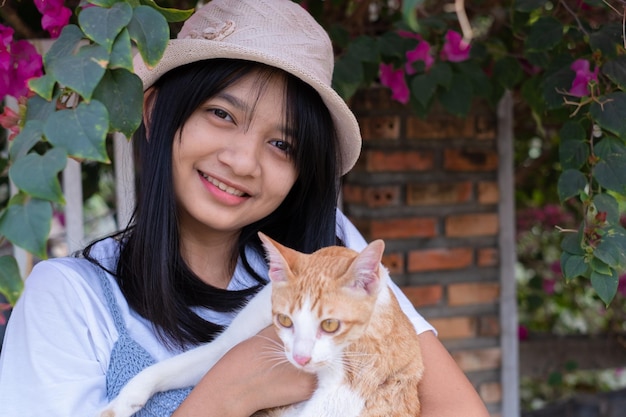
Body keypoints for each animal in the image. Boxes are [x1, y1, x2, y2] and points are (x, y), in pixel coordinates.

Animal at [100, 234, 422, 416]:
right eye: (285, 320)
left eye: (330, 325)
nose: (300, 358)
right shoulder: (225, 348)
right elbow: (172, 367)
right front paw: (122, 402)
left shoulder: (351, 386)